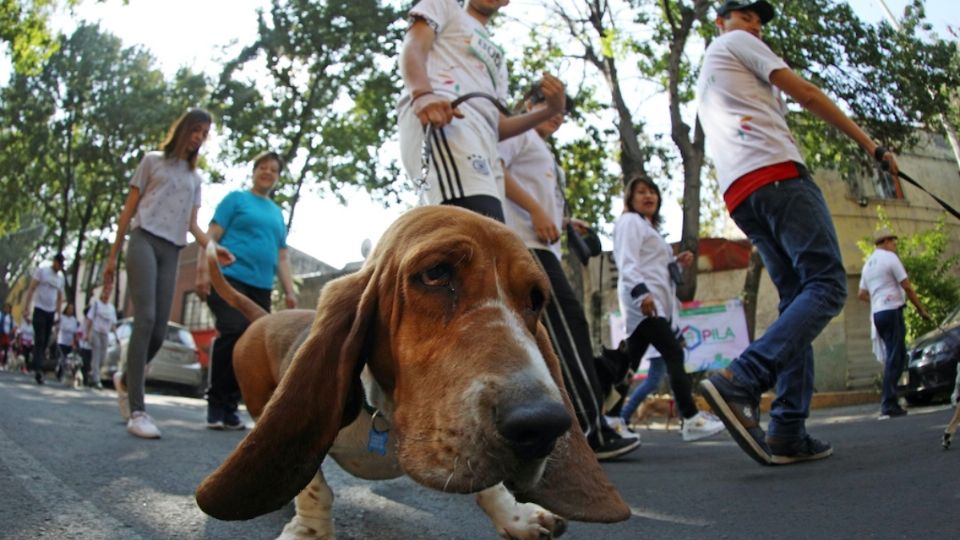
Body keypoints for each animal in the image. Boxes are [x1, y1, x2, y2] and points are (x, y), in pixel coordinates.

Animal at [194, 205, 632, 536]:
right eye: (436, 273)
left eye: (537, 298)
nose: (542, 425)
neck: (386, 420)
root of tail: (264, 316)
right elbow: (315, 485)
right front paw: (310, 531)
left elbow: (489, 487)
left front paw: (517, 517)